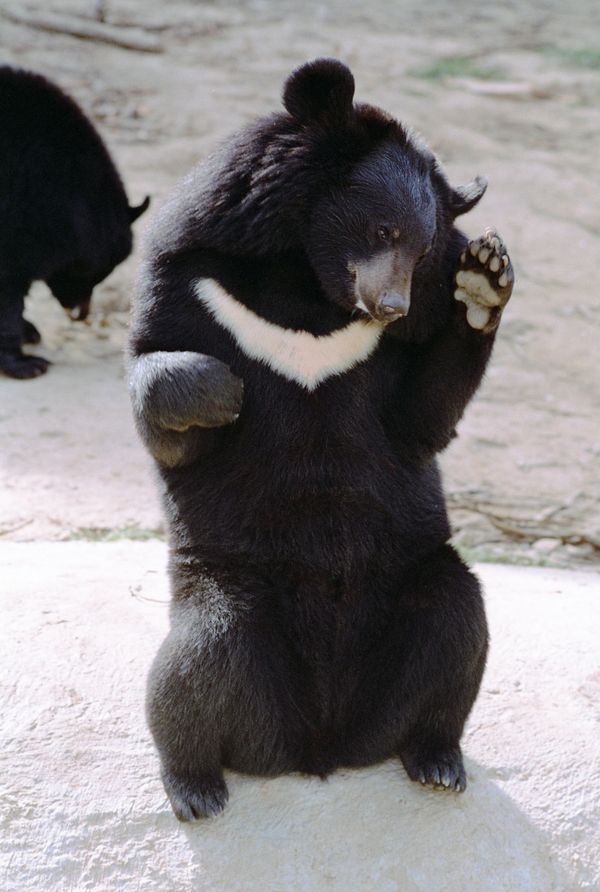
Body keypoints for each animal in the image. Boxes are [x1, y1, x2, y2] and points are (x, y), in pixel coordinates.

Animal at [0, 65, 150, 379]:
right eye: (88, 270)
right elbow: (8, 287)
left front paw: (29, 331)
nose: (81, 314)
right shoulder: (17, 214)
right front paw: (24, 363)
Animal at [129, 58, 514, 821]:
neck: (308, 289)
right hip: (230, 587)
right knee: (195, 660)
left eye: (424, 248)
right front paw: (216, 391)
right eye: (382, 227)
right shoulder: (191, 283)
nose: (390, 305)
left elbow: (423, 419)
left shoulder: (399, 342)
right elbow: (170, 410)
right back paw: (195, 787)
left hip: (412, 577)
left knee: (456, 625)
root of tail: (320, 746)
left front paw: (486, 279)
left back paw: (436, 759)